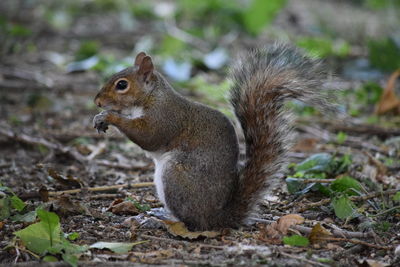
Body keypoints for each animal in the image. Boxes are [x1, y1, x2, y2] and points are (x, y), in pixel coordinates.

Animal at [94, 43, 334, 231]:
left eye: (122, 85)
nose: (97, 102)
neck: (151, 96)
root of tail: (217, 217)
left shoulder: (164, 118)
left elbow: (148, 136)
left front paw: (110, 116)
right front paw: (100, 117)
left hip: (176, 177)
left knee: (192, 223)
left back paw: (163, 219)